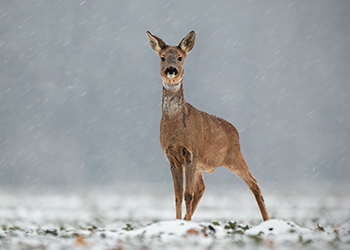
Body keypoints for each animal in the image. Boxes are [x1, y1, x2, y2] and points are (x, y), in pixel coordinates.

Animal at [146, 29, 270, 221]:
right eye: (162, 57)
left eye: (180, 57)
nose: (171, 70)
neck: (175, 130)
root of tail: (236, 131)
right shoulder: (171, 156)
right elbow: (177, 195)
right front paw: (178, 222)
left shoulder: (191, 151)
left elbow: (187, 194)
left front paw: (184, 223)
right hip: (203, 166)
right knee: (202, 188)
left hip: (234, 156)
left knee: (253, 182)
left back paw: (267, 220)